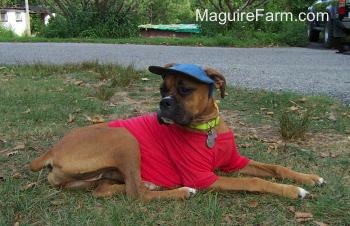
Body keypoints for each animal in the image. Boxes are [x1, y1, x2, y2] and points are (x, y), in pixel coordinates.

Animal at [30, 63, 326, 201]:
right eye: (162, 89)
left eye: (184, 89)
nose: (163, 103)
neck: (207, 128)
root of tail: (52, 149)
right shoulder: (206, 178)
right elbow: (255, 181)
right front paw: (293, 191)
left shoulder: (235, 163)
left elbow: (275, 167)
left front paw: (309, 177)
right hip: (124, 138)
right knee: (137, 195)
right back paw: (182, 192)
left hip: (94, 176)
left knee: (107, 190)